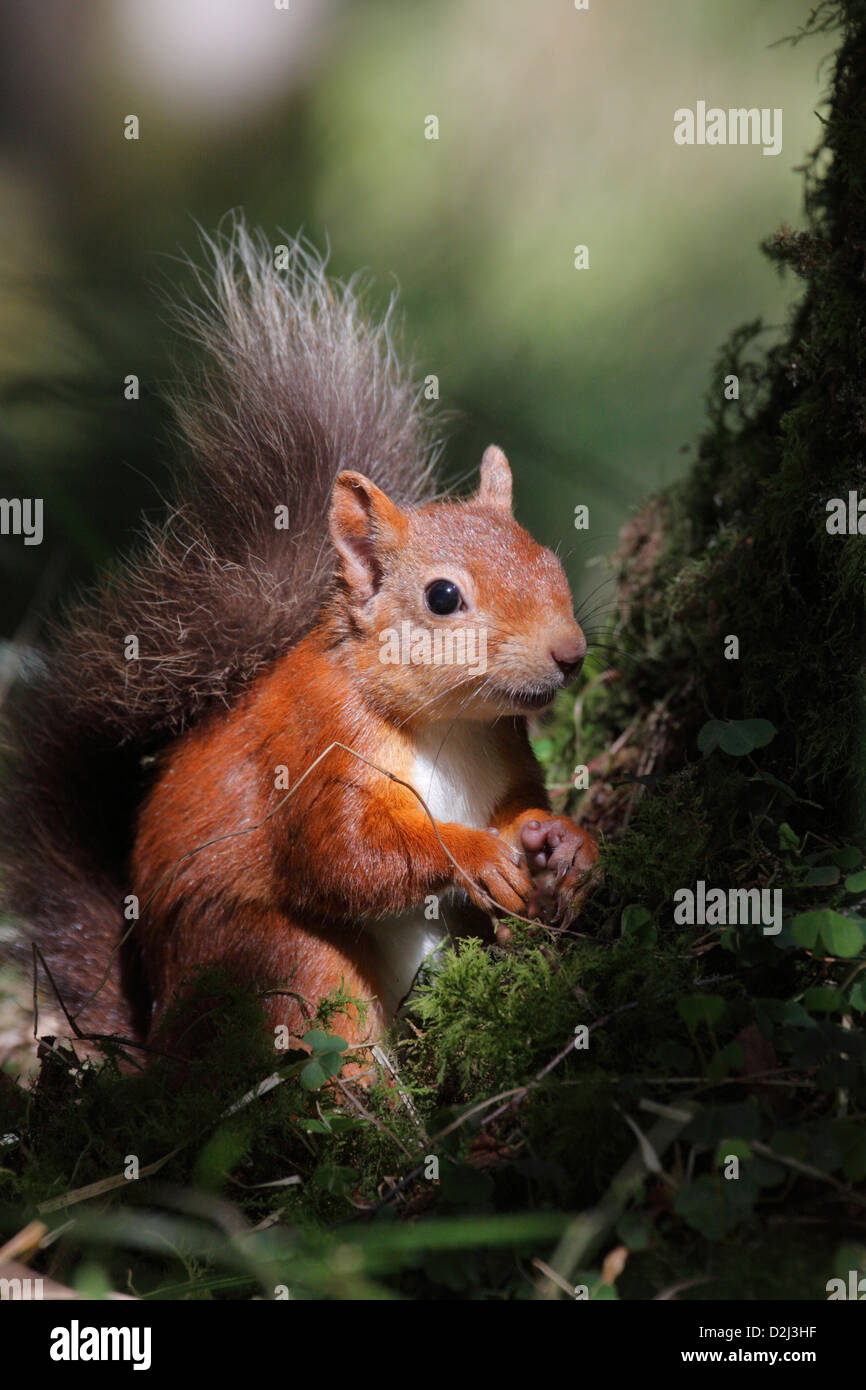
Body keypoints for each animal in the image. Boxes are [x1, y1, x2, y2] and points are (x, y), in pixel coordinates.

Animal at [0, 219, 594, 1050]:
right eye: (443, 597)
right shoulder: (316, 745)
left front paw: (565, 844)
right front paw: (477, 850)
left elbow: (523, 804)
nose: (570, 655)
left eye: (550, 561)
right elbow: (346, 855)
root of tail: (153, 1038)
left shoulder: (506, 749)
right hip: (279, 964)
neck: (447, 726)